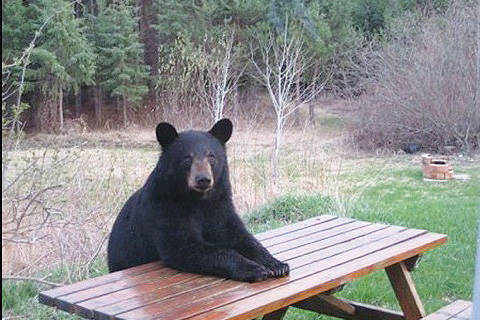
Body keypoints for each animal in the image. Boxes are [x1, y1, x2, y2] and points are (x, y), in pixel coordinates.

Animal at [108, 119, 288, 282]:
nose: (203, 179)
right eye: (187, 158)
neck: (199, 200)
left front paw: (276, 264)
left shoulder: (220, 205)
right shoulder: (164, 208)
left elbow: (240, 236)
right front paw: (254, 269)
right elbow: (185, 246)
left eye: (211, 157)